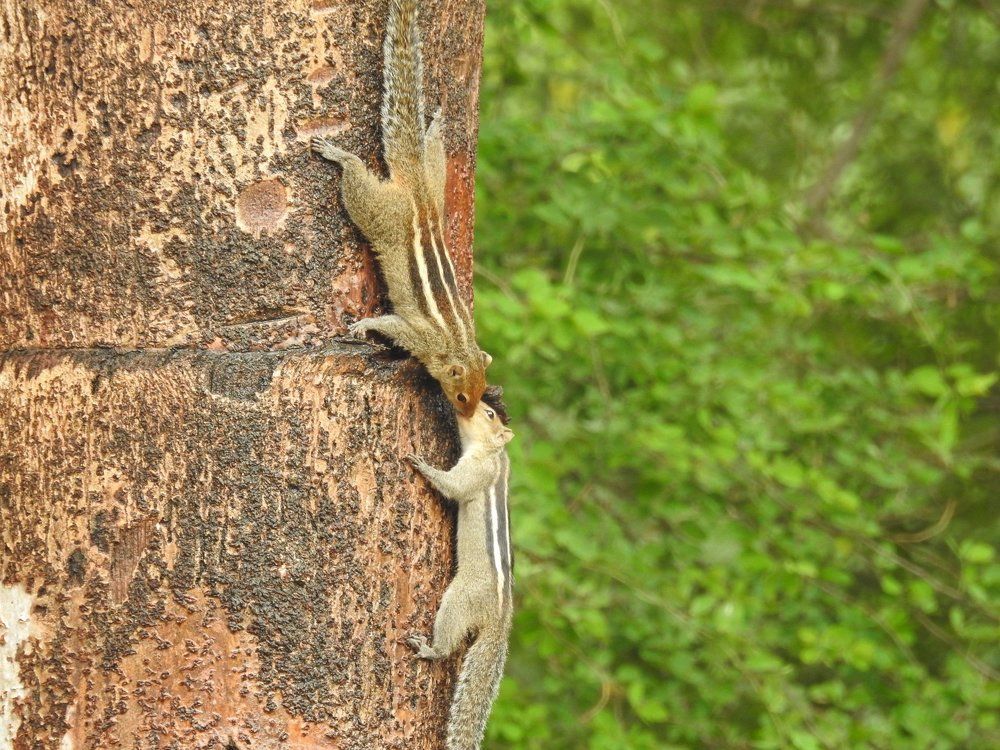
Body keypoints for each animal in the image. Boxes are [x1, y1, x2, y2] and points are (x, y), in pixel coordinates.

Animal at [312, 0, 490, 417]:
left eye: (483, 390)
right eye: (462, 395)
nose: (466, 415)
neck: (457, 343)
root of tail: (418, 188)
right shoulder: (416, 335)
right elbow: (391, 325)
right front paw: (364, 327)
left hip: (437, 179)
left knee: (433, 150)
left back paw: (436, 124)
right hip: (378, 211)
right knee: (357, 178)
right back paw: (340, 155)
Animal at [407, 392, 514, 750]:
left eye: (491, 413)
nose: (469, 402)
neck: (496, 455)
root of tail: (500, 617)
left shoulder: (476, 471)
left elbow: (454, 486)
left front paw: (422, 465)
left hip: (459, 600)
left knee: (446, 644)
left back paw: (429, 648)